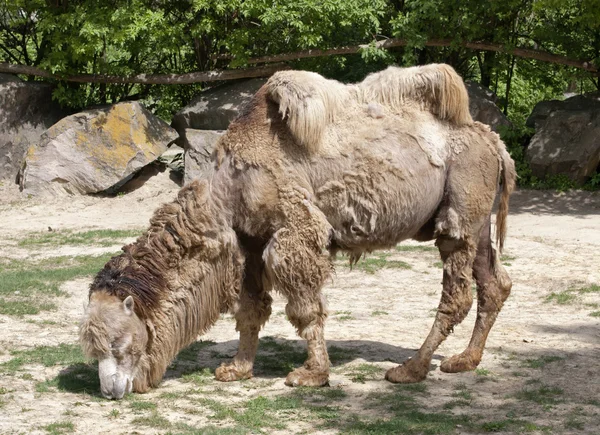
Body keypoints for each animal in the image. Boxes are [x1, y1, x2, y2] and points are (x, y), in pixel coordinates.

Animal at [78, 63, 516, 400]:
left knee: (457, 291)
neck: (228, 189)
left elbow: (305, 306)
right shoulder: (249, 241)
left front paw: (312, 375)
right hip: (476, 218)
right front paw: (236, 368)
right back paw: (465, 360)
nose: (110, 390)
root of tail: (495, 143)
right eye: (92, 350)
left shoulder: (294, 229)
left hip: (462, 201)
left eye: (116, 343)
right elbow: (251, 309)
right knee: (495, 283)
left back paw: (411, 369)